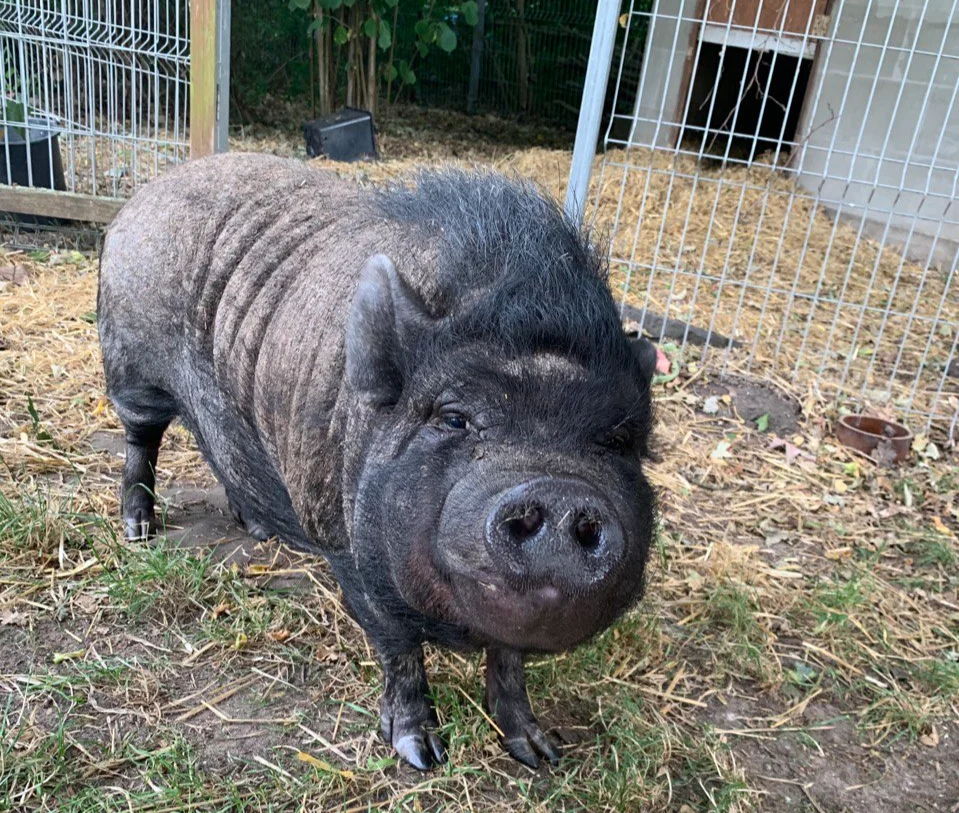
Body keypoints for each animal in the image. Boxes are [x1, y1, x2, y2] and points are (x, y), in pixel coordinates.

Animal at [97, 153, 659, 770]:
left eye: (619, 440)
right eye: (454, 417)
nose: (560, 492)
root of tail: (148, 192)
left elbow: (509, 662)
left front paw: (540, 754)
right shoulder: (346, 547)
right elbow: (398, 646)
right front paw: (421, 755)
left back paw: (256, 527)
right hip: (129, 364)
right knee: (141, 438)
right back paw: (138, 530)